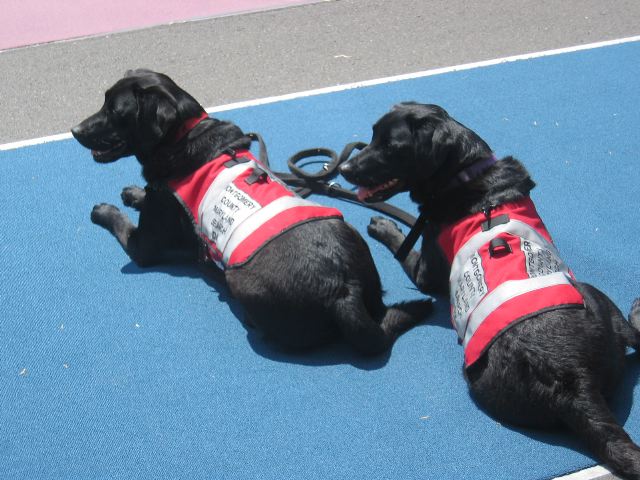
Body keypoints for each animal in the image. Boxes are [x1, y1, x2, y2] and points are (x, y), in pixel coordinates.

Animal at [71, 71, 430, 356]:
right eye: (104, 101)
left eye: (115, 111)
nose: (74, 129)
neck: (182, 138)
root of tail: (345, 291)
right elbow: (145, 195)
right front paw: (133, 193)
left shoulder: (143, 246)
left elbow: (121, 223)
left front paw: (104, 210)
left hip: (240, 279)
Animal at [342, 103, 640, 478]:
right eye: (371, 136)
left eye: (391, 147)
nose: (345, 168)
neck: (466, 176)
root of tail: (572, 379)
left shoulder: (426, 268)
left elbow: (403, 246)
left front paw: (383, 224)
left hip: (587, 293)